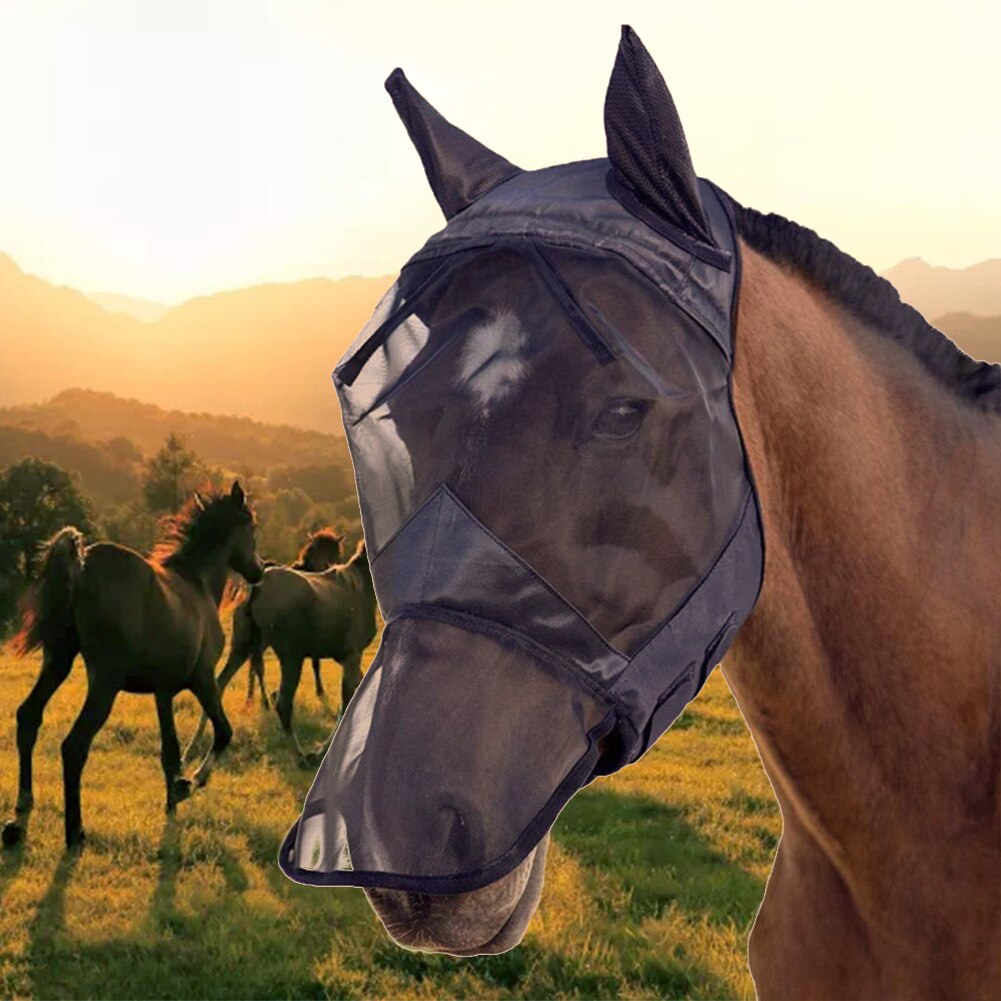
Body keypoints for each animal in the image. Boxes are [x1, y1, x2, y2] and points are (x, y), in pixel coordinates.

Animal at [2, 481, 264, 850]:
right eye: (251, 526)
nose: (259, 570)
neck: (195, 584)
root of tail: (83, 566)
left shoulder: (163, 692)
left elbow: (170, 752)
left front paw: (172, 800)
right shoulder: (203, 680)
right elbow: (223, 733)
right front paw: (188, 785)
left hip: (57, 662)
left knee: (28, 718)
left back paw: (18, 820)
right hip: (104, 682)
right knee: (74, 745)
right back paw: (75, 832)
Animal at [243, 528, 345, 705]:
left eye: (336, 551)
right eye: (315, 549)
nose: (326, 566)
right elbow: (316, 662)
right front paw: (320, 692)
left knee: (254, 664)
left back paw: (252, 699)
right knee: (256, 664)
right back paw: (262, 700)